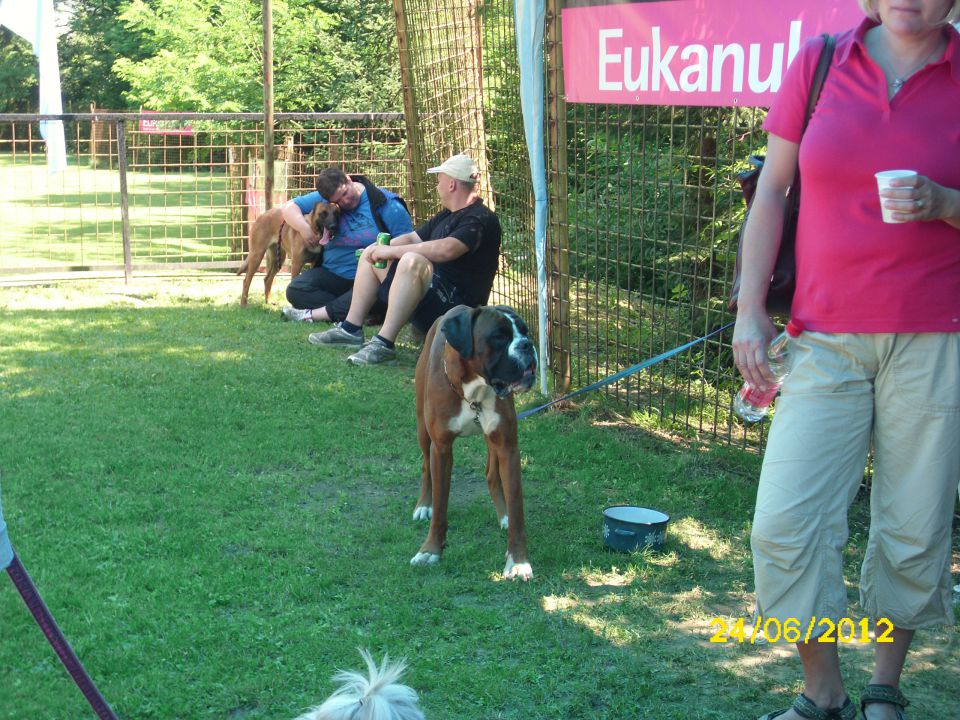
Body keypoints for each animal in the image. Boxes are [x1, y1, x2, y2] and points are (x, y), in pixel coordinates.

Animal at [408, 304, 536, 580]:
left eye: (525, 331)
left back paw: (503, 514)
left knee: (491, 475)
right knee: (425, 467)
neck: (475, 392)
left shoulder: (508, 447)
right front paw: (430, 550)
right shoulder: (441, 449)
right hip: (422, 429)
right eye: (499, 336)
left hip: (492, 441)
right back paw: (424, 505)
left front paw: (518, 561)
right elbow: (441, 506)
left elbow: (517, 509)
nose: (527, 345)